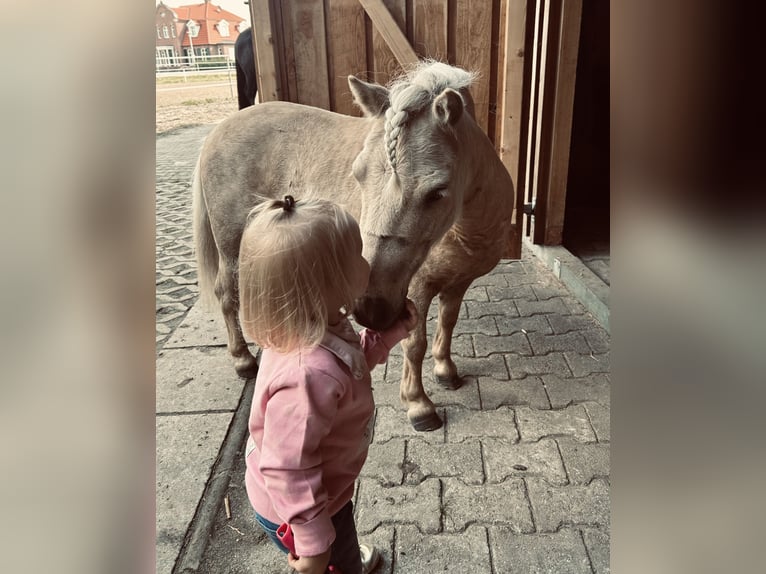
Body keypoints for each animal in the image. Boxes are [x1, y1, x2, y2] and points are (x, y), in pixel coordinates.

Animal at [192, 63, 516, 432]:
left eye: (437, 192)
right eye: (358, 175)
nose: (370, 308)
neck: (466, 230)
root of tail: (219, 129)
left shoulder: (457, 282)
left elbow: (448, 323)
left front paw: (446, 371)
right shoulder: (417, 289)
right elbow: (414, 344)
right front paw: (419, 405)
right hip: (232, 246)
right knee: (227, 295)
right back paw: (244, 361)